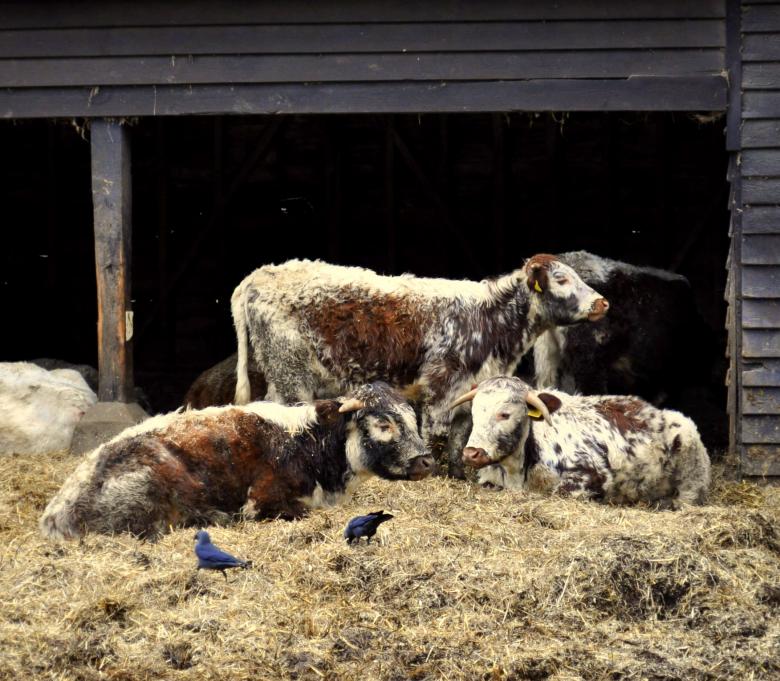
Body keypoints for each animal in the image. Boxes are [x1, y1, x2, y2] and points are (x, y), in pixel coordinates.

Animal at [231, 255, 609, 476]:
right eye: (561, 279)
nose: (602, 303)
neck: (488, 321)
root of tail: (260, 274)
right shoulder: (439, 390)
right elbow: (437, 439)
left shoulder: (465, 392)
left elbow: (459, 439)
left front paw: (460, 475)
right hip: (291, 374)